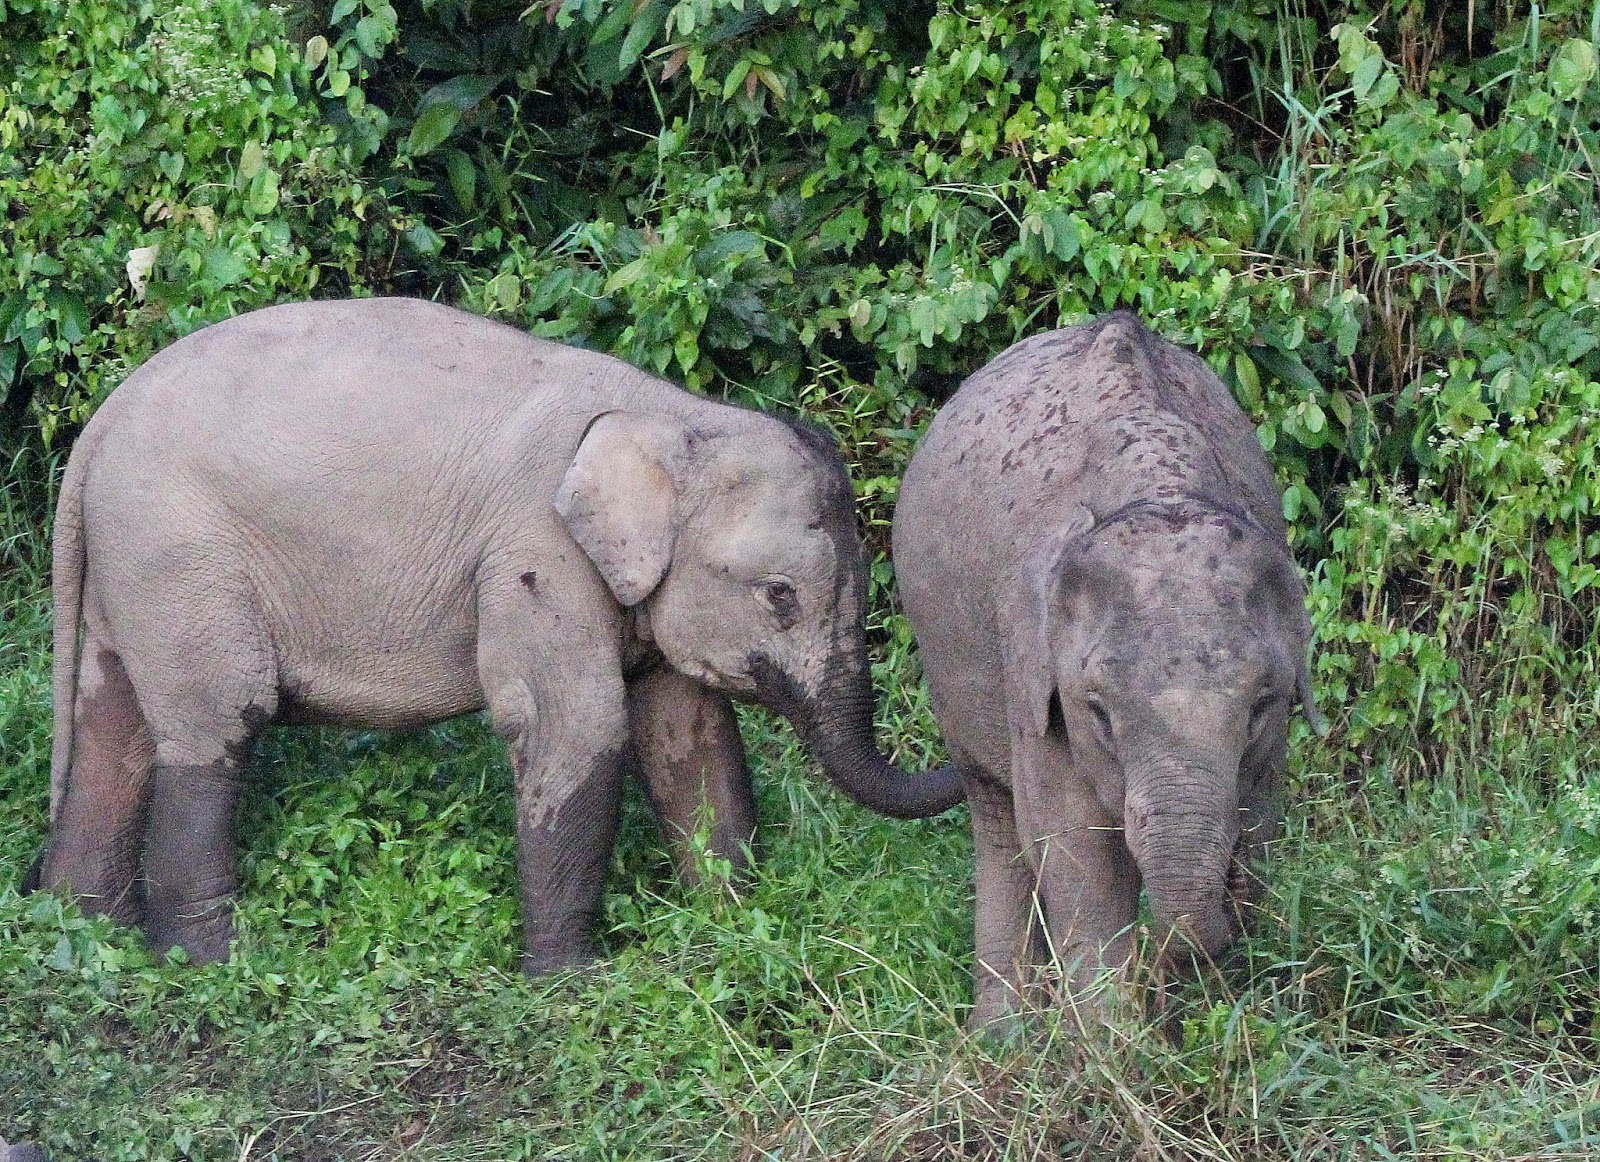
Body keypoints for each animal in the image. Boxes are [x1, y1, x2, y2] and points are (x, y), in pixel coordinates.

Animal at [32, 296, 963, 970]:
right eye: (780, 596)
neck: (670, 417)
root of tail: (98, 429)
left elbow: (689, 731)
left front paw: (732, 923)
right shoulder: (533, 552)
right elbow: (575, 725)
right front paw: (573, 981)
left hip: (138, 570)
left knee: (113, 725)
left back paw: (82, 929)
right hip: (180, 554)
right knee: (220, 719)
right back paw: (208, 965)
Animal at [892, 311, 1318, 1027]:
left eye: (1261, 706)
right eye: (1099, 713)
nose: (1166, 976)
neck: (1160, 483)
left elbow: (1262, 821)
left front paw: (1222, 1022)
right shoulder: (1033, 669)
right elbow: (1073, 852)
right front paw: (1119, 1044)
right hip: (951, 664)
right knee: (998, 823)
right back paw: (1002, 1036)